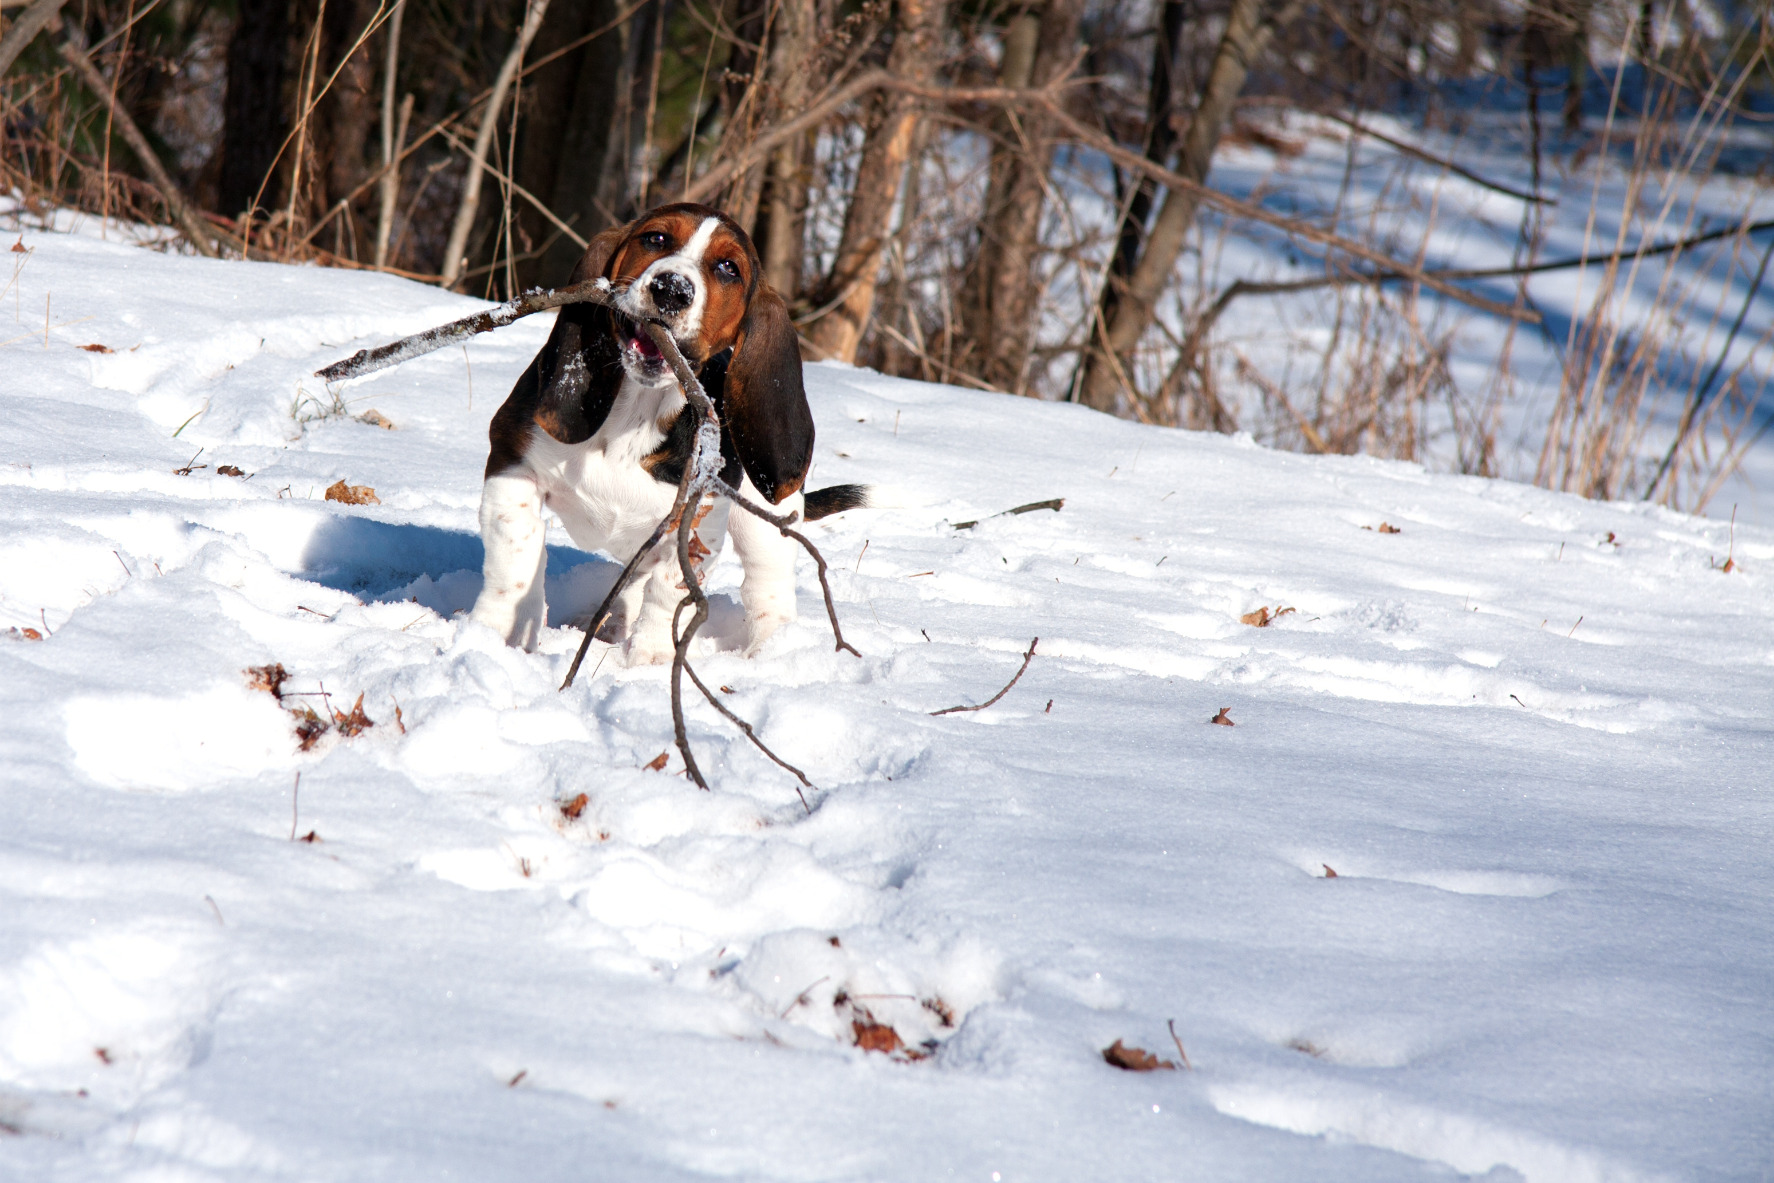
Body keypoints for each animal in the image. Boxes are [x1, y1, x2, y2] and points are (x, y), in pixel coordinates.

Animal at [468, 204, 862, 666]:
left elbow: (667, 592)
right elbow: (515, 556)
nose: (672, 288)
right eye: (655, 239)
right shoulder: (513, 466)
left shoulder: (696, 522)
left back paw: (770, 653)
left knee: (768, 590)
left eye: (729, 268)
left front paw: (649, 661)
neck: (636, 409)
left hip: (766, 522)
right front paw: (496, 635)